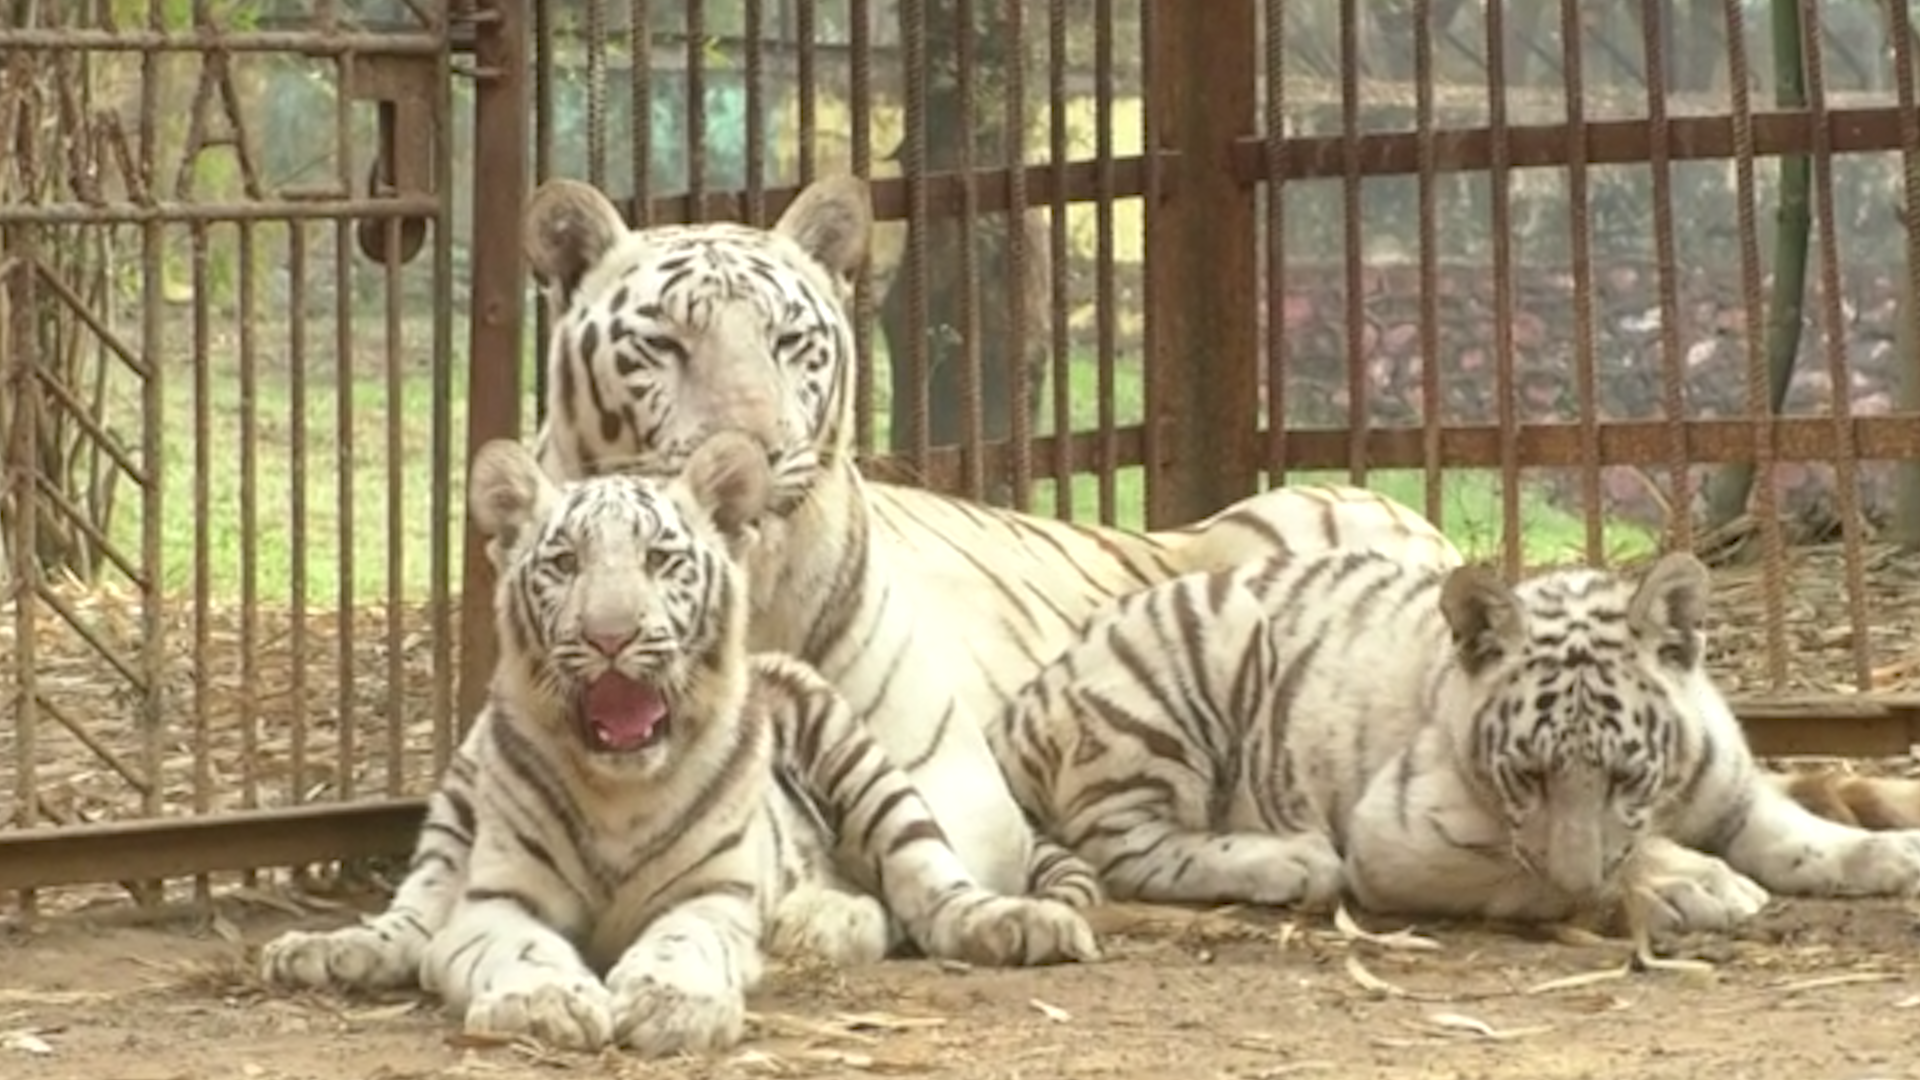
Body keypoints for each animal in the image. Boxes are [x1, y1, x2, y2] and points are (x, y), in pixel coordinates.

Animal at [268, 430, 1098, 1053]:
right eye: (564, 562)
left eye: (659, 560)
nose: (610, 636)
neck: (616, 788)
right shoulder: (497, 901)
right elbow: (514, 947)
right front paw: (543, 1004)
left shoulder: (709, 897)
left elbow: (681, 945)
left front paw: (672, 1006)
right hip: (453, 812)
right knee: (413, 913)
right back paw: (325, 951)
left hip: (858, 758)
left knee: (923, 885)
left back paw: (982, 924)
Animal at [983, 545, 1920, 933]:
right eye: (1528, 778)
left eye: (1626, 777)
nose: (1580, 881)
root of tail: (1018, 702)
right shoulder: (1401, 836)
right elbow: (1550, 868)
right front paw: (1693, 884)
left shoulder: (1727, 789)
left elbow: (1801, 835)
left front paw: (1890, 854)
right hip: (1181, 674)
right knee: (1125, 847)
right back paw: (1288, 860)